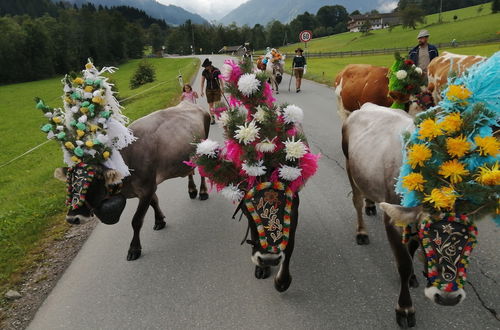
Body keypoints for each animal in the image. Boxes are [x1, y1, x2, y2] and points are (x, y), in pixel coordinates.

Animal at [53, 100, 210, 260]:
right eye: (69, 182)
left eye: (93, 181)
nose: (72, 219)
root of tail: (190, 103)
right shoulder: (146, 189)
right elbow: (154, 202)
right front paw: (160, 220)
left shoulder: (147, 188)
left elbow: (136, 220)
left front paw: (134, 248)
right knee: (190, 170)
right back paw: (192, 190)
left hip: (204, 149)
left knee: (203, 171)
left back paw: (203, 192)